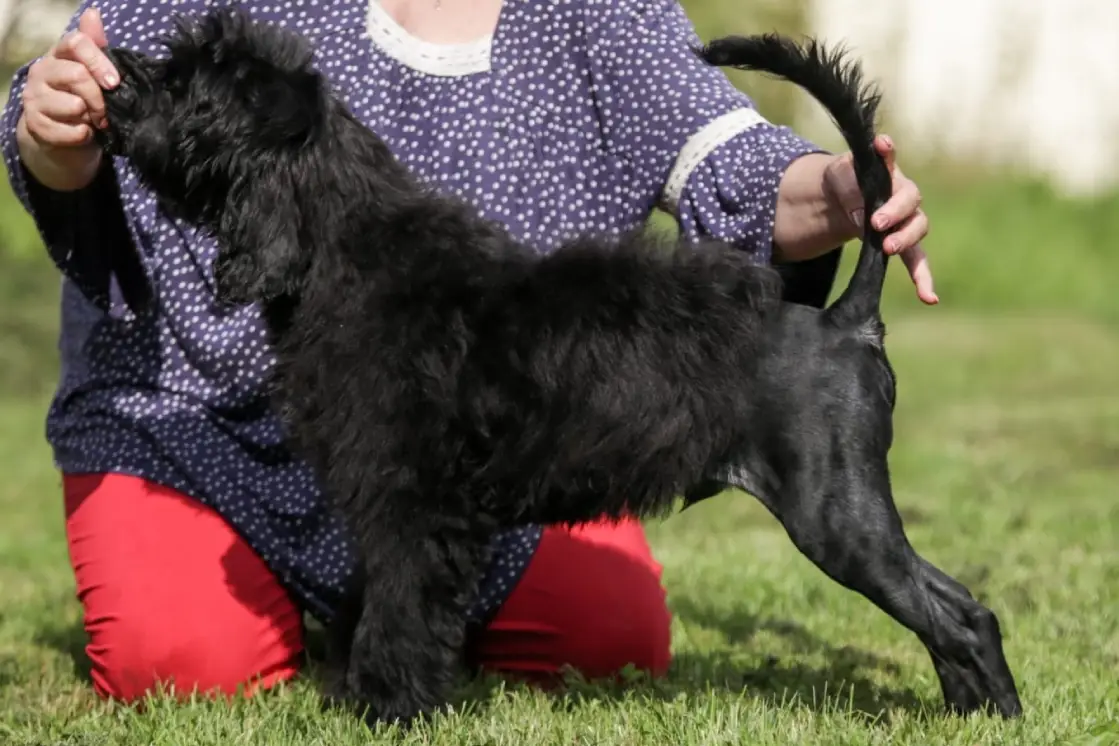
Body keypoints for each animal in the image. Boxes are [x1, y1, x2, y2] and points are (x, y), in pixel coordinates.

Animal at [96, 8, 1025, 724]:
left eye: (193, 84)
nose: (115, 79)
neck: (340, 250)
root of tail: (844, 321)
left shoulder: (412, 505)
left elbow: (399, 611)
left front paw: (388, 709)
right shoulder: (398, 506)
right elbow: (382, 602)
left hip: (834, 515)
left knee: (958, 616)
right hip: (847, 515)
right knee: (956, 608)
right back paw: (972, 714)